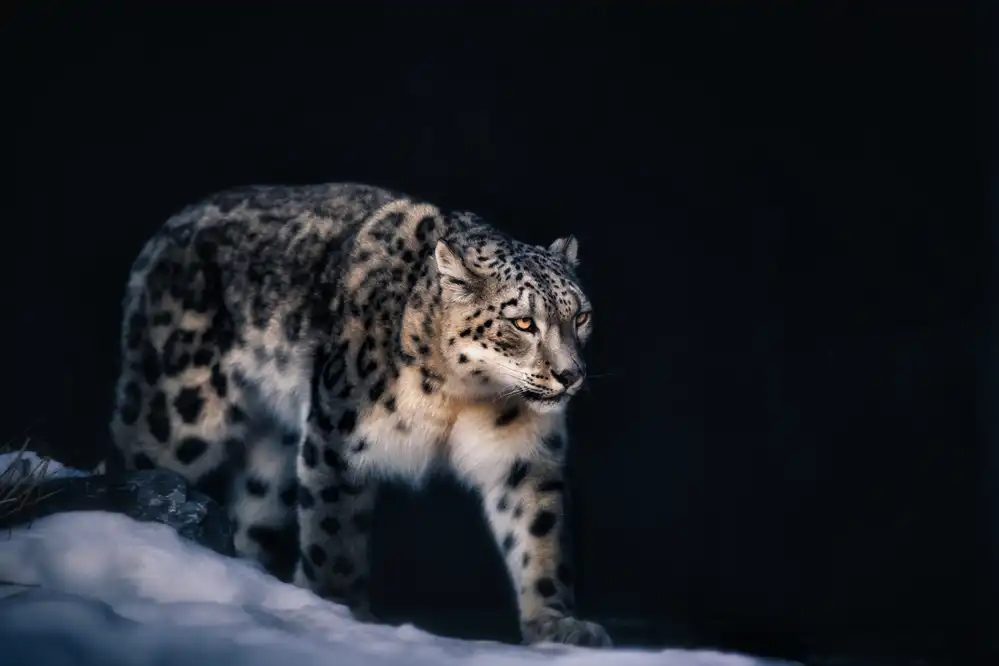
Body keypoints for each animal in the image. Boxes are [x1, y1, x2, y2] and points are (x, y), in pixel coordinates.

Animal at [106, 182, 610, 647]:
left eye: (580, 316)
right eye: (522, 322)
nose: (571, 374)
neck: (463, 396)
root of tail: (166, 231)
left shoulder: (522, 453)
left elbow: (537, 534)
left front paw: (556, 623)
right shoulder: (338, 436)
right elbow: (334, 534)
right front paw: (341, 611)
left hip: (273, 459)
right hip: (177, 412)